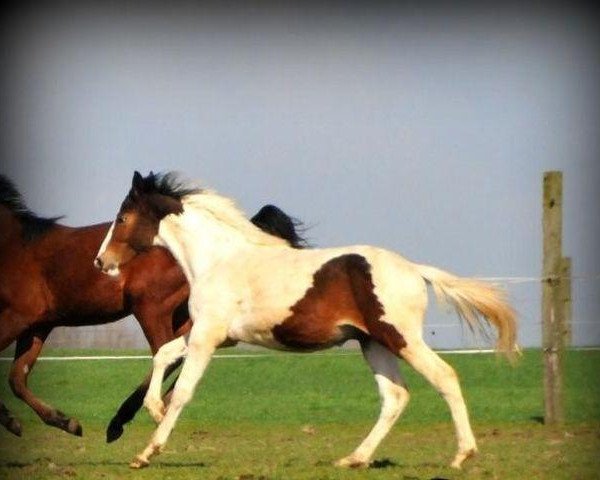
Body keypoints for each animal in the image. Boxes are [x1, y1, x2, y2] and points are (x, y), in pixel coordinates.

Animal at [0, 174, 304, 440]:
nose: (100, 261)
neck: (15, 244)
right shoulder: (38, 324)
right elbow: (17, 378)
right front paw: (64, 422)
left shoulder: (18, 316)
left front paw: (17, 421)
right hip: (182, 313)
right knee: (182, 352)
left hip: (150, 307)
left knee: (167, 353)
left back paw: (129, 418)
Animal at [96, 171, 516, 470]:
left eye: (123, 217)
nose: (101, 262)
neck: (219, 260)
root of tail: (414, 269)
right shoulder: (212, 335)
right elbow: (164, 355)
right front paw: (153, 409)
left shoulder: (207, 337)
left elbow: (182, 389)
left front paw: (147, 452)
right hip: (373, 343)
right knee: (395, 396)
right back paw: (354, 458)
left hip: (401, 337)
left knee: (444, 376)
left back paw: (462, 455)